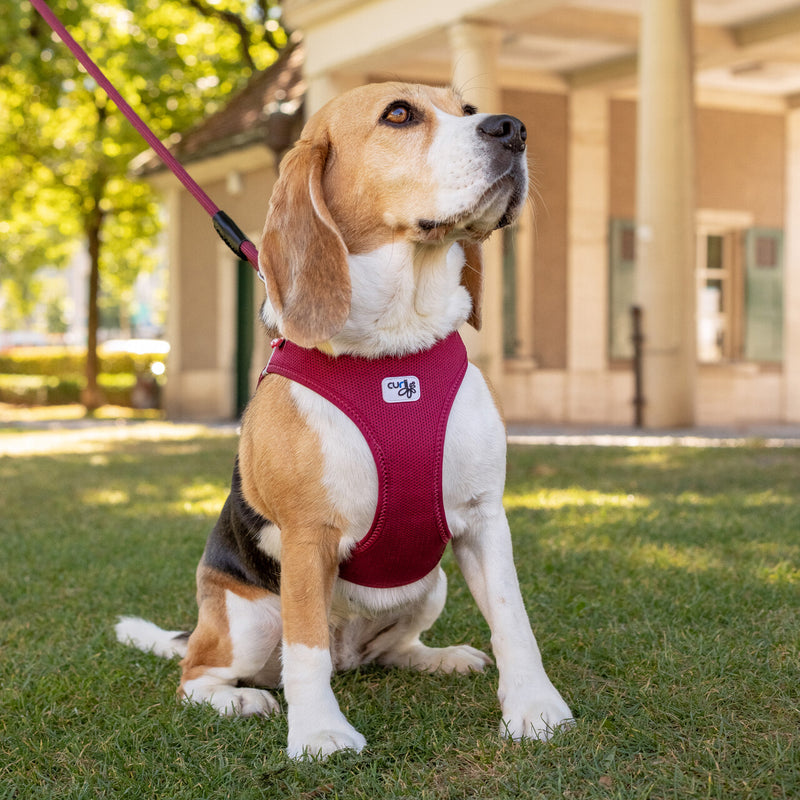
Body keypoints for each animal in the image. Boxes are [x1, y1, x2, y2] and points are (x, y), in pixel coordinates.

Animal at [115, 83, 572, 764]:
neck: (394, 349)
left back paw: (437, 657)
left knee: (386, 652)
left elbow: (513, 620)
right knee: (202, 671)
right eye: (400, 114)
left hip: (432, 580)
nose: (512, 129)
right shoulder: (309, 536)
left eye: (467, 110)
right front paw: (319, 734)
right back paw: (238, 699)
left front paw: (535, 708)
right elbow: (305, 649)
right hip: (250, 619)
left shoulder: (485, 517)